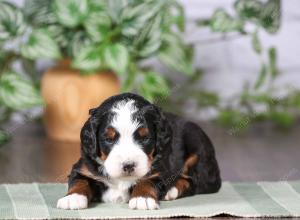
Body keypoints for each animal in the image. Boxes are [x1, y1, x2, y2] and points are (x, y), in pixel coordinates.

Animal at [56, 92, 220, 210]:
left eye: (145, 138)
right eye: (109, 139)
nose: (128, 165)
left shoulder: (160, 170)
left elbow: (147, 180)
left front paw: (143, 198)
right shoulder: (83, 167)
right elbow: (80, 181)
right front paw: (72, 198)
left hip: (198, 150)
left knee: (195, 182)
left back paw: (172, 191)